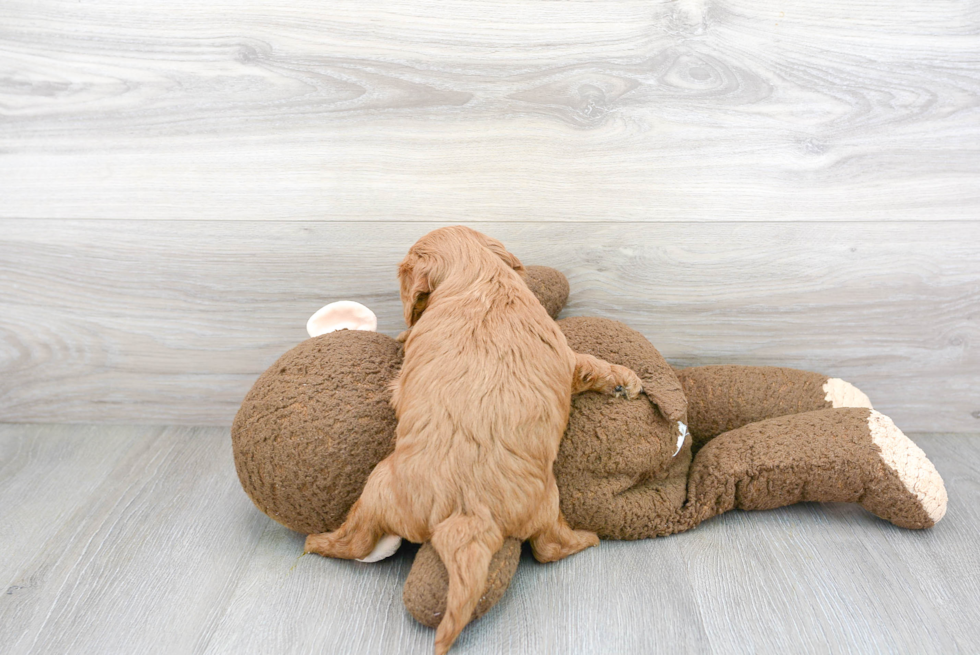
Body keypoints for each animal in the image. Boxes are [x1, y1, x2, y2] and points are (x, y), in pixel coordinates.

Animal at [306, 227, 644, 655]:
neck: (479, 276)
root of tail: (471, 513)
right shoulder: (564, 355)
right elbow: (589, 364)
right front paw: (624, 380)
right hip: (541, 501)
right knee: (549, 546)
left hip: (380, 484)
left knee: (359, 540)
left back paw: (317, 542)